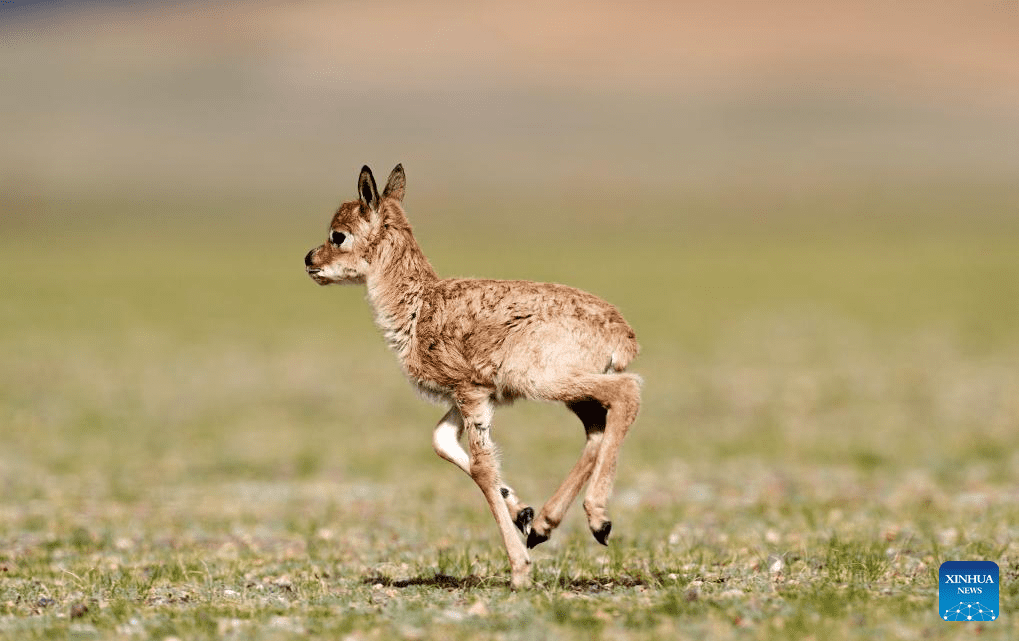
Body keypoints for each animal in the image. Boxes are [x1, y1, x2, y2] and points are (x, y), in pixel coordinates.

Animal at [301, 166, 639, 591]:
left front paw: (519, 569)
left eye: (338, 235)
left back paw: (598, 520)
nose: (309, 260)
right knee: (597, 426)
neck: (419, 307)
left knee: (627, 393)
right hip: (570, 392)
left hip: (551, 383)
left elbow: (481, 466)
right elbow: (441, 441)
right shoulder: (475, 397)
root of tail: (623, 333)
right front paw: (521, 512)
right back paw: (544, 524)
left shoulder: (469, 392)